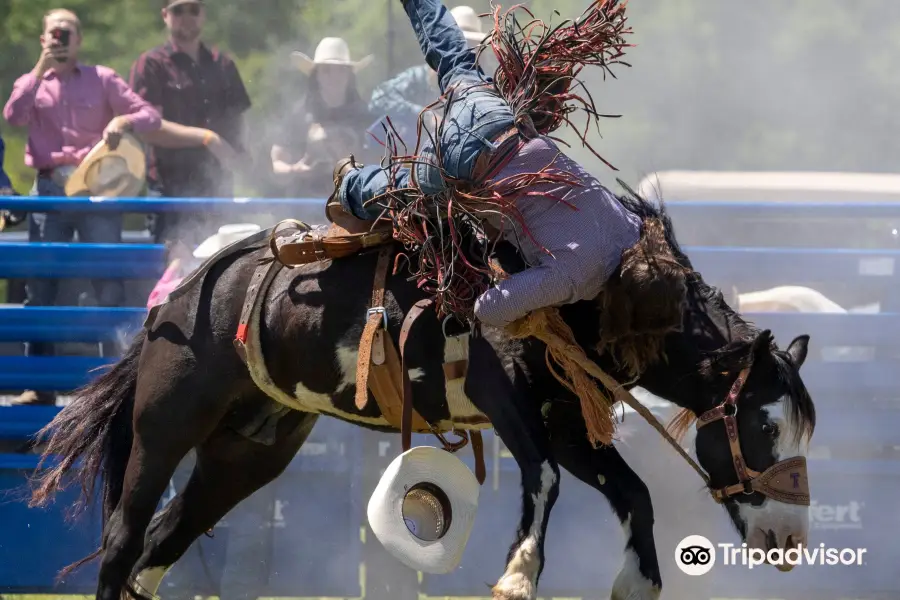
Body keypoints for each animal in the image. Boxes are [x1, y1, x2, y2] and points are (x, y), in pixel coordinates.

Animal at [26, 184, 816, 600]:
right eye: (765, 427)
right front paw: (517, 577)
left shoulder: (563, 419)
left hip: (248, 452)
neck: (599, 291)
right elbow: (545, 482)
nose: (788, 542)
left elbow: (632, 492)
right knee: (125, 537)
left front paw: (636, 582)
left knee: (167, 536)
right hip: (166, 425)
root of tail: (177, 299)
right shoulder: (510, 404)